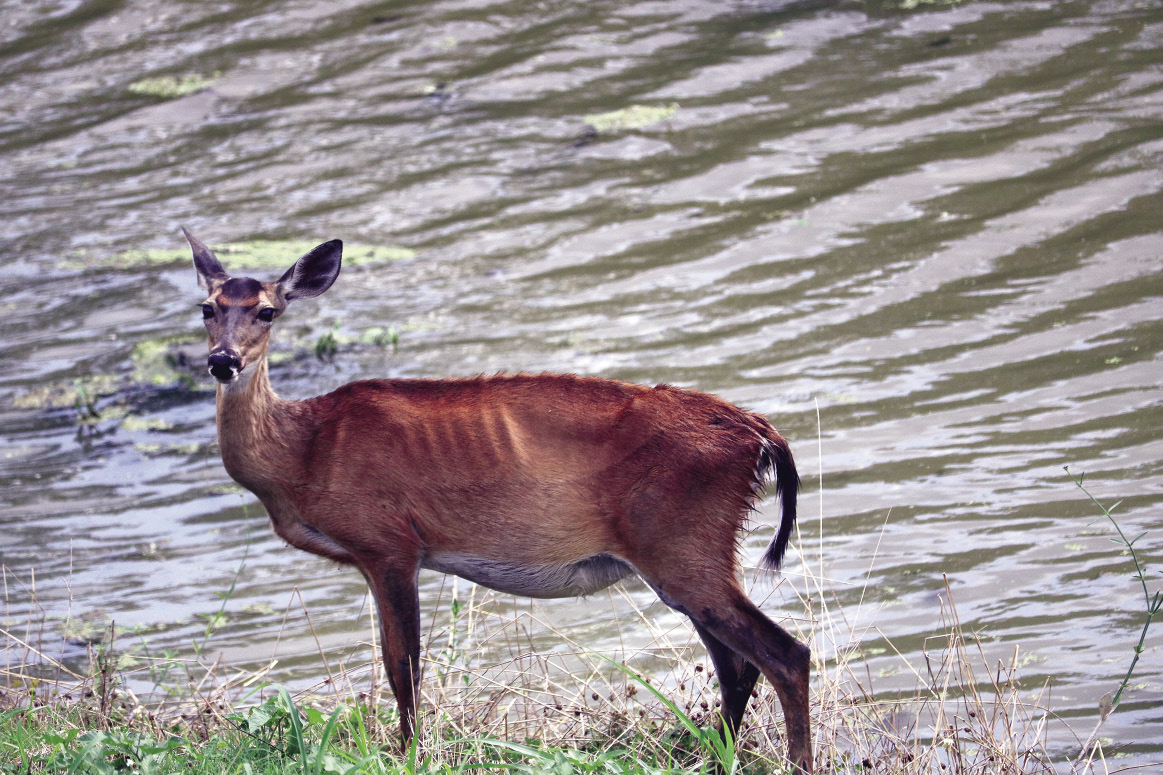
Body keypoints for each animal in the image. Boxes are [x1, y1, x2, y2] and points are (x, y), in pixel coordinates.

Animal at [186, 226, 814, 768]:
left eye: (268, 310)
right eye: (207, 308)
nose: (223, 361)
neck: (303, 453)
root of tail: (758, 434)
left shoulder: (389, 542)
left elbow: (402, 666)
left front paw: (409, 755)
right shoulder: (376, 554)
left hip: (684, 542)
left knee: (786, 655)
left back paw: (794, 762)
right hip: (686, 554)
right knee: (739, 667)